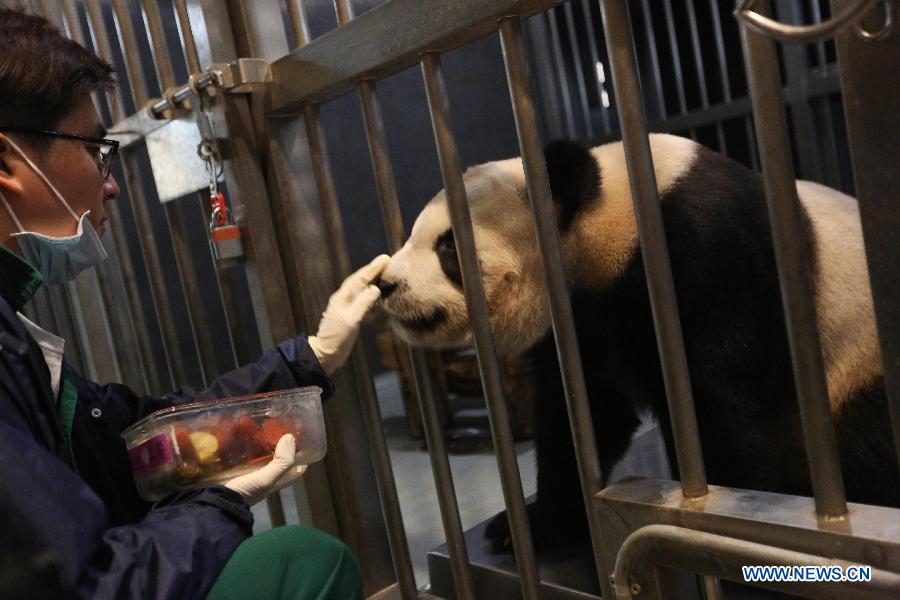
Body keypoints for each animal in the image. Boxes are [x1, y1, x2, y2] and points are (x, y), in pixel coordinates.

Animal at [376, 135, 896, 548]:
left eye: (448, 247)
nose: (386, 284)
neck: (609, 224)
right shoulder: (585, 319)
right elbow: (583, 414)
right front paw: (532, 524)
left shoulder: (706, 259)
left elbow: (716, 402)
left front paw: (724, 510)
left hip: (855, 360)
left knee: (863, 446)